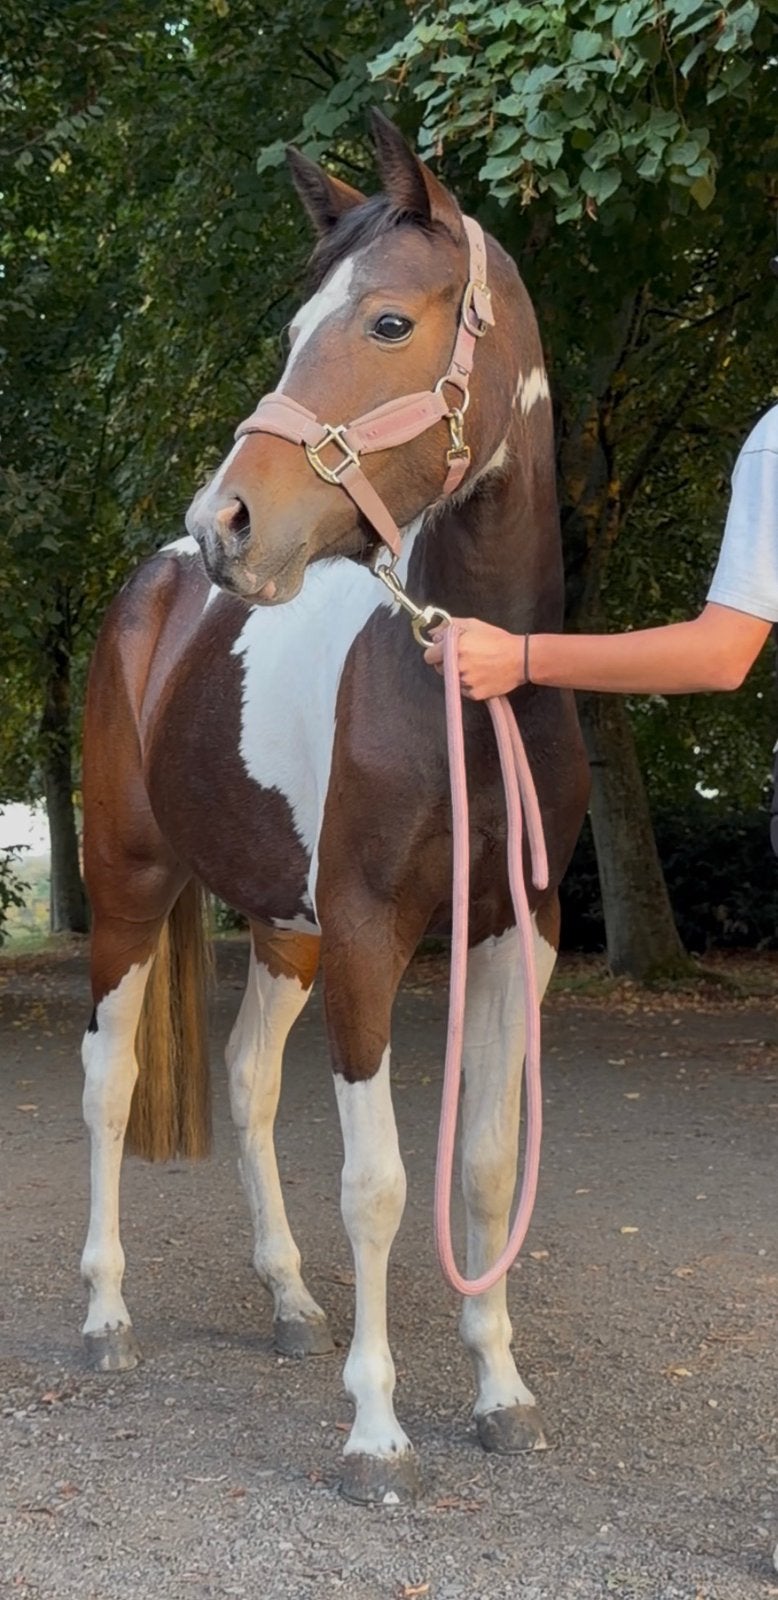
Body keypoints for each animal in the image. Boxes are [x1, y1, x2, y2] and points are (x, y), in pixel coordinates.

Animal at [79, 111, 589, 1505]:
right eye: (295, 323)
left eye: (388, 322)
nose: (227, 521)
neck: (469, 686)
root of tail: (153, 592)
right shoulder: (368, 933)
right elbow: (378, 1181)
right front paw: (375, 1431)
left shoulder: (512, 934)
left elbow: (483, 1169)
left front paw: (501, 1391)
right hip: (129, 890)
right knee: (106, 1080)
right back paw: (105, 1317)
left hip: (284, 929)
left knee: (250, 1079)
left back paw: (291, 1301)